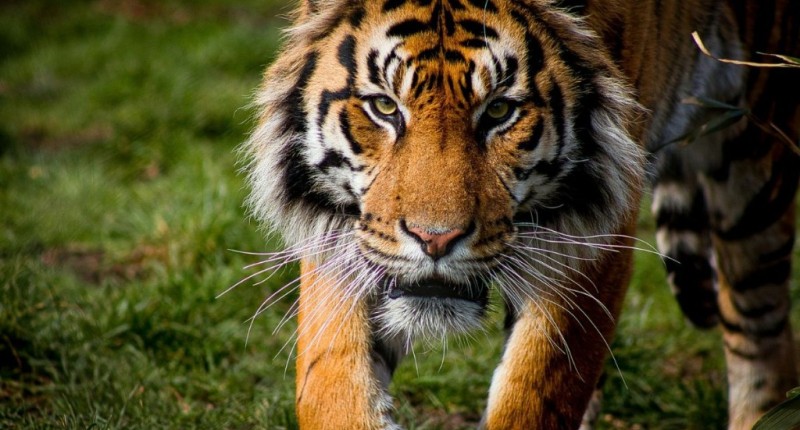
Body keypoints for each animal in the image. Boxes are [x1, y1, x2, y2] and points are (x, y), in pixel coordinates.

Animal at [242, 0, 800, 428]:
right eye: (384, 107)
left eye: (498, 111)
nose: (435, 239)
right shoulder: (345, 241)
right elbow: (330, 387)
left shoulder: (589, 238)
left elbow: (536, 389)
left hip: (754, 157)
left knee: (761, 333)